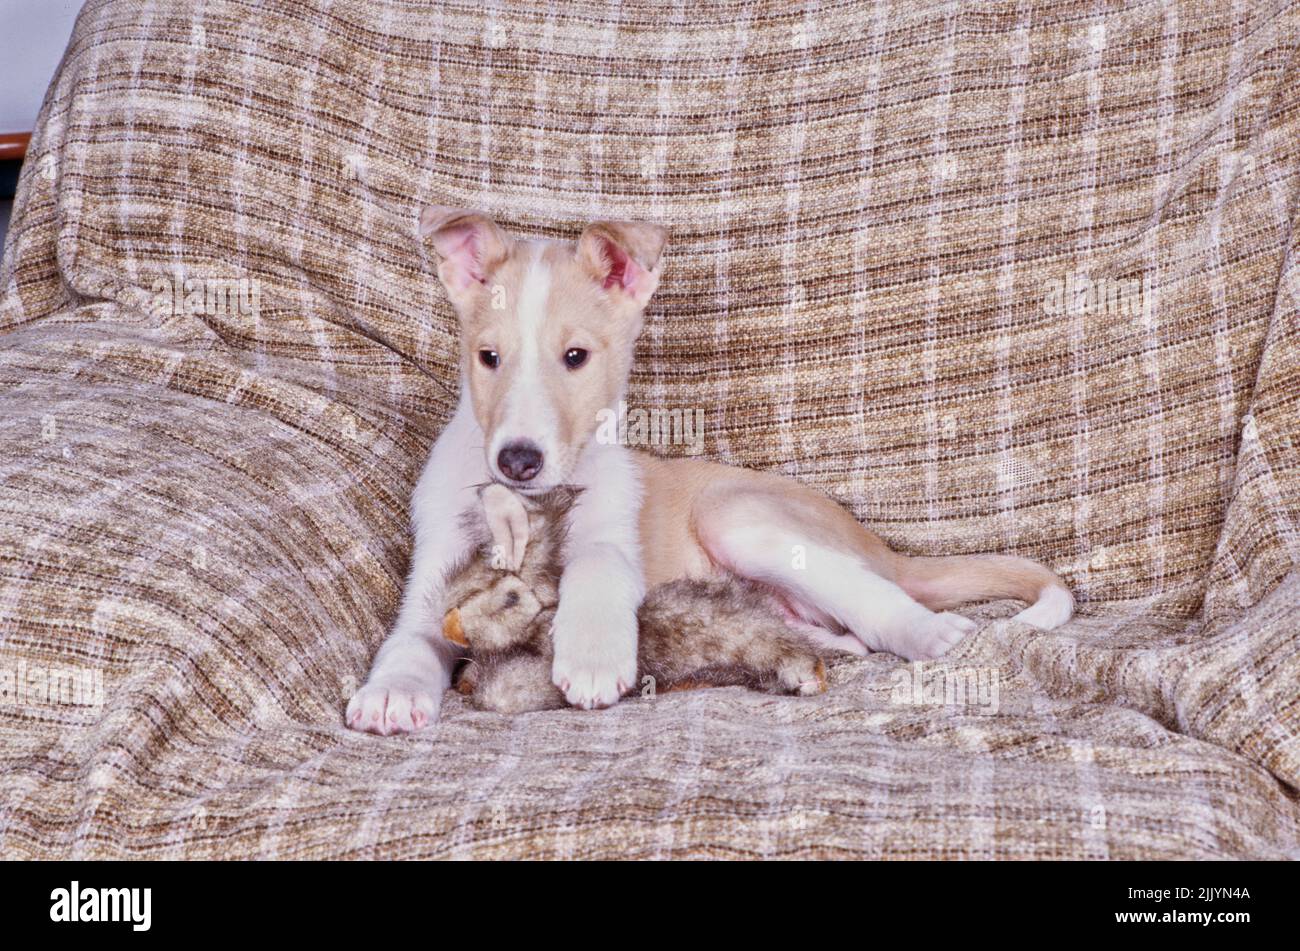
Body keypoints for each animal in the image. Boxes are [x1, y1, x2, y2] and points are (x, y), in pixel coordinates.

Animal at [340, 210, 1071, 737]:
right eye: (488, 356)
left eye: (576, 357)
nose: (518, 460)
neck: (528, 506)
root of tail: (876, 543)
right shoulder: (436, 574)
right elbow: (411, 636)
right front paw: (391, 692)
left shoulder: (613, 531)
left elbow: (596, 563)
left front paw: (594, 652)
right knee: (843, 635)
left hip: (740, 517)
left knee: (876, 601)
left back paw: (931, 633)